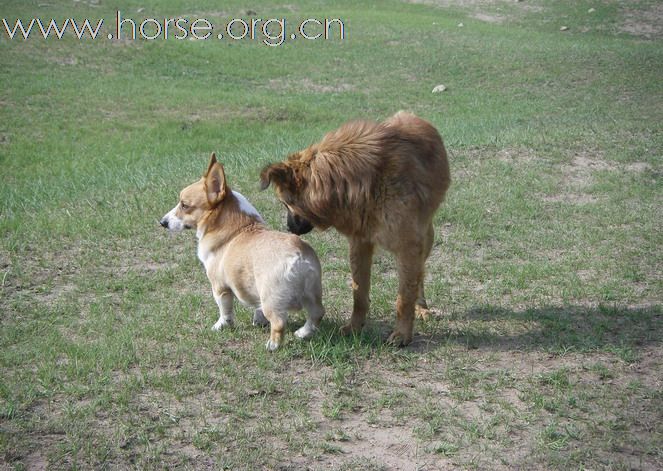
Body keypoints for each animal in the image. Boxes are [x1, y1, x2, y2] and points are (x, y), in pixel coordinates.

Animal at [162, 155, 326, 350]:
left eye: (184, 205)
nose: (162, 222)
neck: (239, 227)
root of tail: (299, 257)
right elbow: (257, 307)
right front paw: (258, 321)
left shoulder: (220, 288)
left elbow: (225, 311)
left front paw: (221, 326)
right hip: (312, 293)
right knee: (317, 313)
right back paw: (303, 333)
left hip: (272, 299)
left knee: (279, 323)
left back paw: (272, 346)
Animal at [260, 112, 452, 344]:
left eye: (284, 203)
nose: (289, 229)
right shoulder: (360, 242)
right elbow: (358, 292)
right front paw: (354, 327)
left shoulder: (408, 247)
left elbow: (405, 296)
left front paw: (402, 334)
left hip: (425, 238)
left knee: (420, 276)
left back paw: (421, 308)